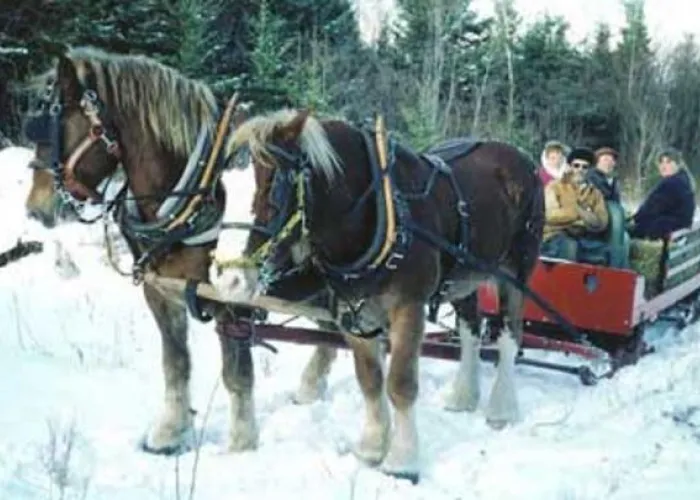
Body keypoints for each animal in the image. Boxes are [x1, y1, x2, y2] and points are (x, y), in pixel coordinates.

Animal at [211, 109, 544, 480]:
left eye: (273, 194)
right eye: (223, 189)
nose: (228, 281)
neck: (375, 213)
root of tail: (519, 157)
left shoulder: (408, 306)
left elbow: (400, 383)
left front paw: (402, 460)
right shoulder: (352, 309)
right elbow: (369, 379)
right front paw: (372, 447)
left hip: (516, 270)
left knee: (509, 336)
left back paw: (502, 408)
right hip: (463, 276)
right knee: (471, 330)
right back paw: (463, 396)